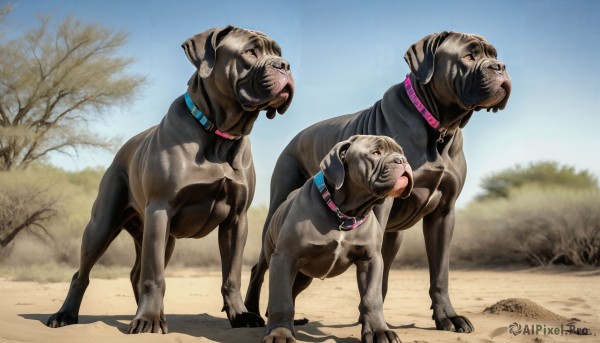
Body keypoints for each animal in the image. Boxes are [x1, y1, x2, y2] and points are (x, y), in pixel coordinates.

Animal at [45, 26, 294, 336]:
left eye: (278, 53)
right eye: (250, 52)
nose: (285, 65)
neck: (217, 134)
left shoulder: (236, 219)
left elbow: (231, 275)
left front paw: (240, 315)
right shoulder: (160, 209)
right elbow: (155, 276)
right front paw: (148, 319)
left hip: (164, 238)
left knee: (136, 273)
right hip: (102, 226)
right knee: (84, 273)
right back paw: (65, 315)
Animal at [262, 135, 412, 343]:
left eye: (401, 152)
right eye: (375, 153)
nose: (402, 160)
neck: (345, 213)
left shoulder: (371, 260)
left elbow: (372, 298)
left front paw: (379, 331)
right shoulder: (284, 257)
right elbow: (281, 301)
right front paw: (279, 334)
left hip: (302, 276)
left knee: (292, 291)